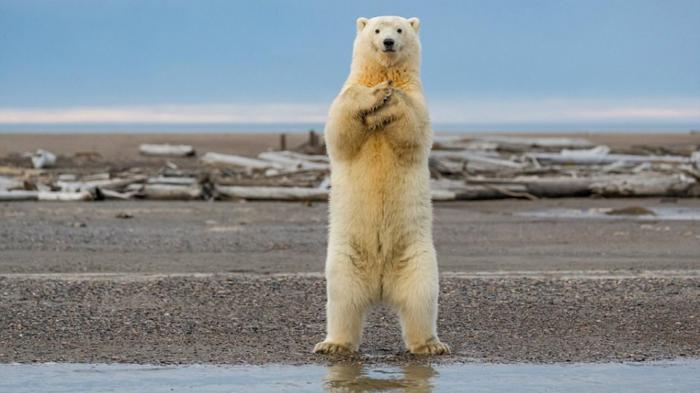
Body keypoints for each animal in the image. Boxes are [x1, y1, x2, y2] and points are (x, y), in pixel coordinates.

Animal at [314, 16, 452, 356]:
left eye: (399, 29)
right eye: (377, 30)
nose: (388, 42)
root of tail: (380, 286)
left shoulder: (420, 101)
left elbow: (413, 128)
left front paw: (391, 98)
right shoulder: (347, 91)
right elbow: (340, 127)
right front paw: (378, 93)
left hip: (417, 257)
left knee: (421, 299)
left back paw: (430, 345)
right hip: (345, 257)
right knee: (342, 300)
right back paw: (333, 344)